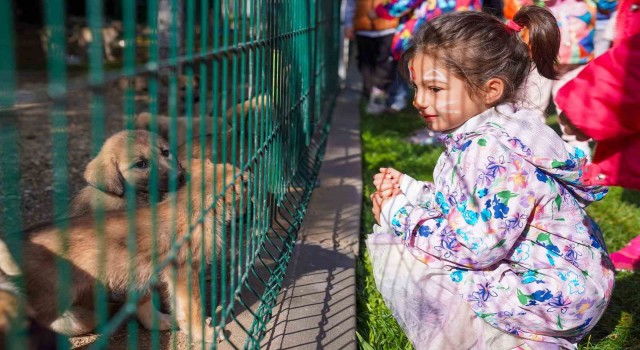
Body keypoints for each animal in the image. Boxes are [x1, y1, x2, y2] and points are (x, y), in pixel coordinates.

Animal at [18, 159, 248, 342]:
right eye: (244, 184)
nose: (249, 177)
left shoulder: (149, 274)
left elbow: (154, 305)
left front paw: (168, 322)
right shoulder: (184, 272)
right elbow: (192, 307)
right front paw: (205, 333)